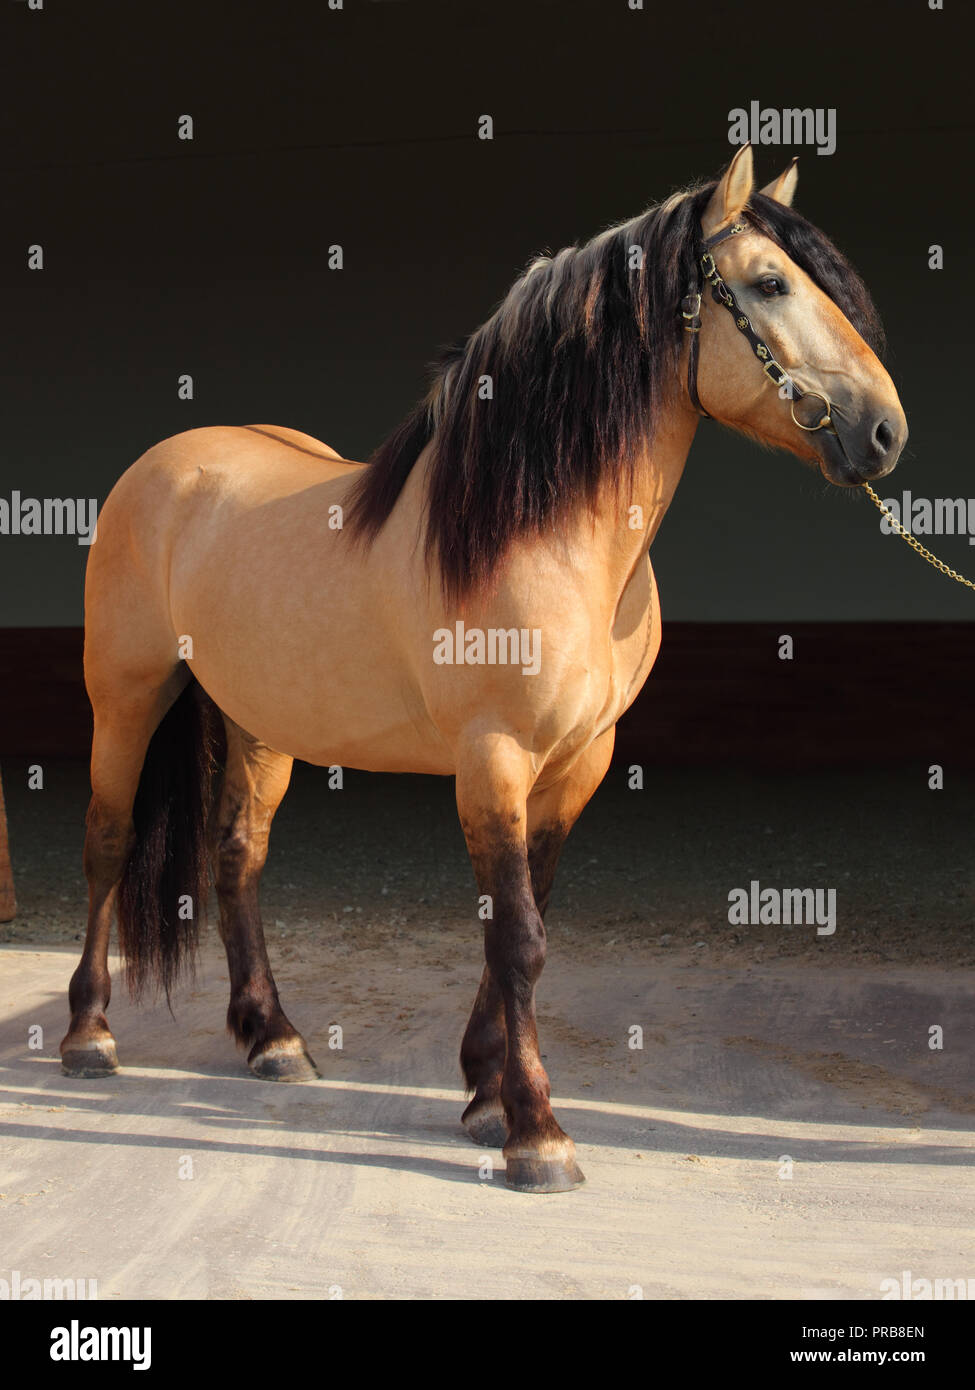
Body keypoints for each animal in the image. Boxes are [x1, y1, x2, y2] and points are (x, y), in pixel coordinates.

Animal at [62, 149, 906, 1195]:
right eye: (769, 284)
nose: (885, 433)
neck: (539, 532)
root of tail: (167, 463)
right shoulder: (493, 758)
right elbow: (517, 937)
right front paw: (535, 1134)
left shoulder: (577, 763)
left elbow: (524, 917)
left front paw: (481, 1093)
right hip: (125, 696)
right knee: (106, 842)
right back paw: (89, 1036)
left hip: (258, 724)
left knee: (237, 858)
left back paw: (273, 1039)